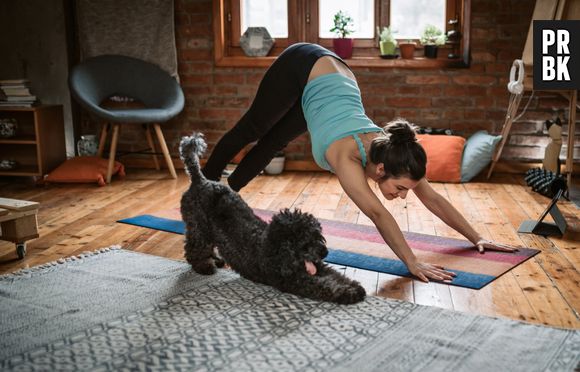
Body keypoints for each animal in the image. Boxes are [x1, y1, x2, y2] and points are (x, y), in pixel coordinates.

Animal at [179, 132, 364, 304]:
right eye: (305, 241)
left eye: (318, 235)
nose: (325, 252)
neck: (274, 247)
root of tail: (199, 180)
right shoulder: (294, 280)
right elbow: (324, 286)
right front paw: (347, 293)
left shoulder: (318, 266)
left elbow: (335, 275)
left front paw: (354, 286)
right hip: (198, 227)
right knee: (193, 249)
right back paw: (204, 266)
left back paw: (216, 260)